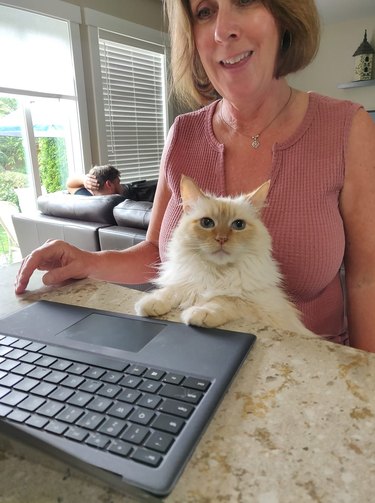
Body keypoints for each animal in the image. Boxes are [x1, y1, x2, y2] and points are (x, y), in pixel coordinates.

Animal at [135, 175, 312, 336]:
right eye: (206, 223)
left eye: (238, 225)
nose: (222, 239)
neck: (217, 274)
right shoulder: (188, 281)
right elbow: (171, 290)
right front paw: (151, 303)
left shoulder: (257, 308)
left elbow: (224, 300)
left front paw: (199, 312)